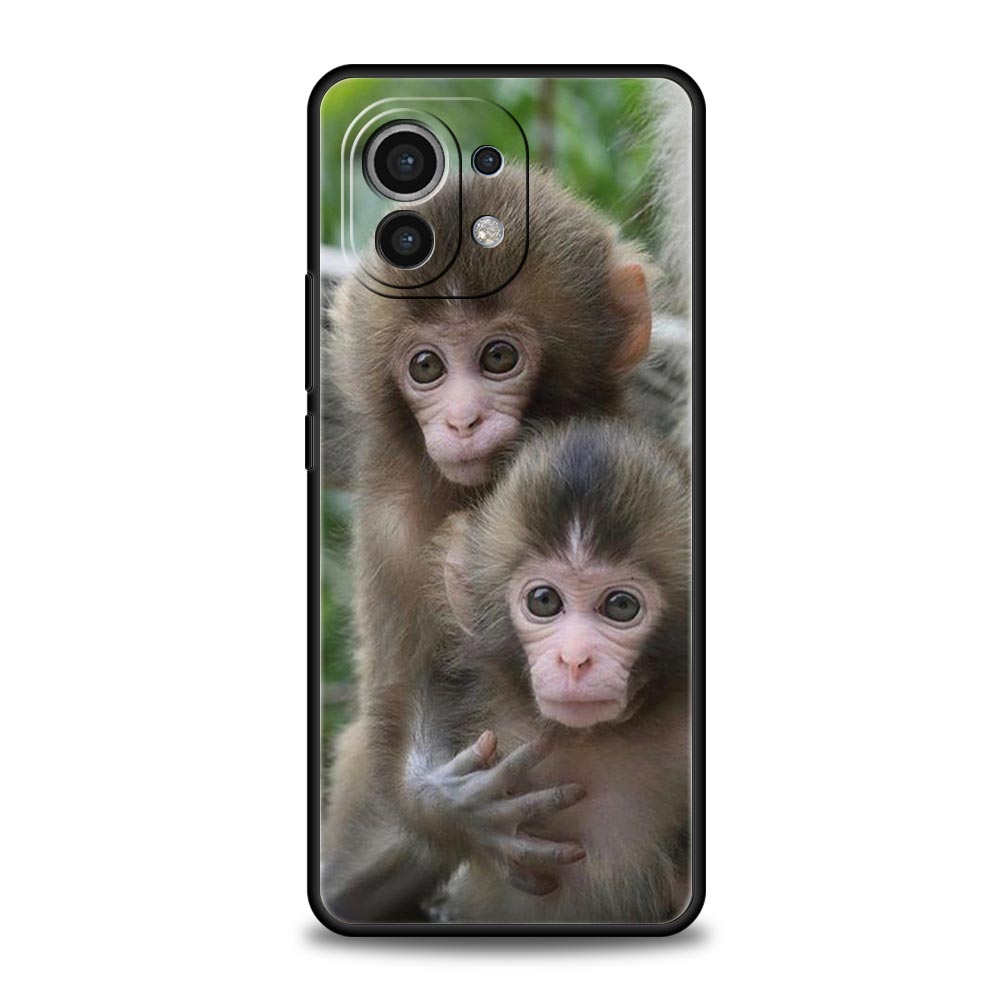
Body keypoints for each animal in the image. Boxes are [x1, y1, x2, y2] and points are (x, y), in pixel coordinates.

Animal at [319, 167, 661, 920]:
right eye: (426, 367)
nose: (462, 420)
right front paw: (448, 807)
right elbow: (401, 692)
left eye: (499, 356)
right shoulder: (393, 520)